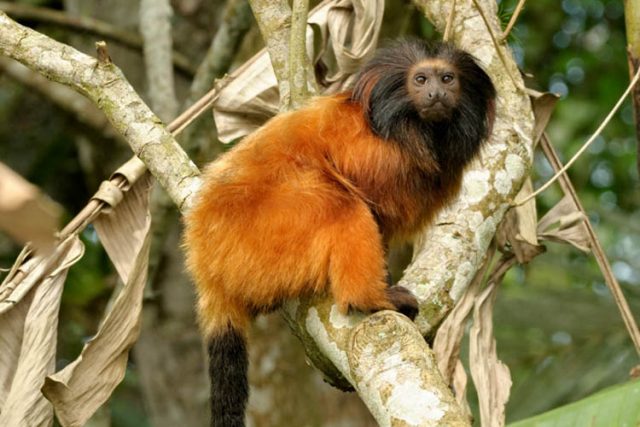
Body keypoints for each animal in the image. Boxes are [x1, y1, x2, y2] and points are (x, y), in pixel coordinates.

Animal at [183, 39, 496, 427]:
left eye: (448, 78)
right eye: (421, 79)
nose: (436, 93)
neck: (410, 128)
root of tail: (205, 256)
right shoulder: (375, 154)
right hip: (262, 227)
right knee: (340, 204)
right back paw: (369, 298)